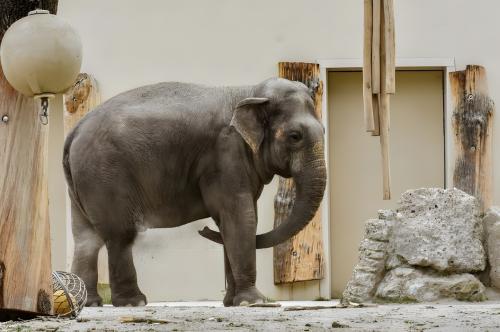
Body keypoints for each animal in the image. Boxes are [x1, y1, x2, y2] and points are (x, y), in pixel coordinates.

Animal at [62, 77, 326, 306]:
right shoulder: (225, 154)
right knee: (120, 235)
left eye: (324, 130)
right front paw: (253, 303)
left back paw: (89, 303)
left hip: (83, 183)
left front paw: (232, 303)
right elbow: (240, 216)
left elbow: (236, 220)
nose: (203, 229)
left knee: (86, 238)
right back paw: (133, 303)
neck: (249, 92)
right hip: (104, 174)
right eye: (295, 136)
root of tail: (74, 132)